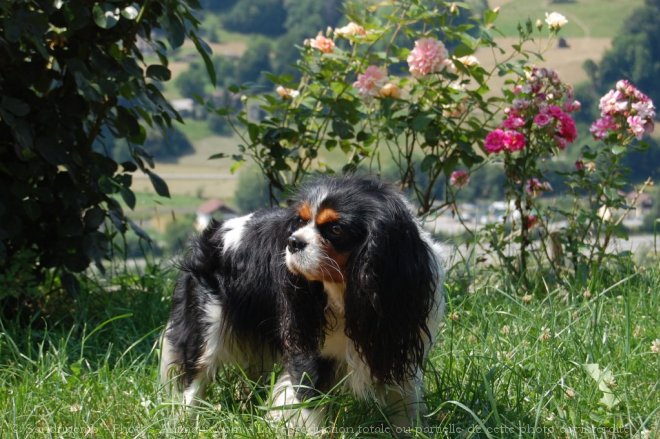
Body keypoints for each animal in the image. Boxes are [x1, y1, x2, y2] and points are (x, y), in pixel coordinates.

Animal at [159, 175, 444, 430]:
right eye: (301, 221)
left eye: (336, 229)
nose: (293, 241)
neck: (345, 293)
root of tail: (212, 233)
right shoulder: (305, 343)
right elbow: (308, 404)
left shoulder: (397, 341)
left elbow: (405, 400)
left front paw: (410, 430)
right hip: (208, 327)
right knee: (194, 379)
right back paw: (185, 423)